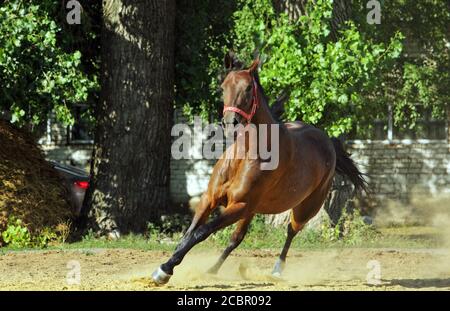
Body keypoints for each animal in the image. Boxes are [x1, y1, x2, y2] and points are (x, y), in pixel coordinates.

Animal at [151, 54, 366, 286]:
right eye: (223, 86)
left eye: (247, 88)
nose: (231, 123)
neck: (245, 155)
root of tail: (327, 142)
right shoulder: (210, 199)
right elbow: (189, 233)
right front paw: (167, 265)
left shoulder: (240, 205)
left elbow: (201, 232)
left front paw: (165, 270)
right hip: (254, 211)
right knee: (236, 239)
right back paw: (212, 270)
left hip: (305, 208)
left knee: (290, 231)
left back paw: (277, 270)